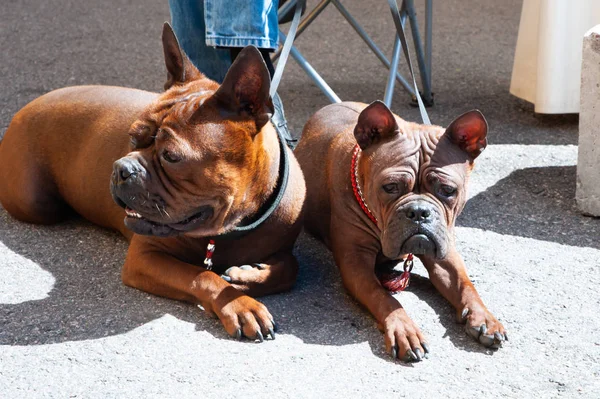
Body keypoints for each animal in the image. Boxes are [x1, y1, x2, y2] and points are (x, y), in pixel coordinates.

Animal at [0, 24, 308, 344]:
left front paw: (244, 276)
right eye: (133, 137)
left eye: (171, 156)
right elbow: (201, 276)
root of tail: (29, 105)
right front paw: (239, 305)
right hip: (36, 204)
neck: (232, 228)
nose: (122, 168)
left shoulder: (285, 249)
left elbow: (290, 269)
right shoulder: (145, 257)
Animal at [296, 101, 506, 362]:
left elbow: (466, 285)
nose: (419, 211)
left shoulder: (445, 255)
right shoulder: (355, 263)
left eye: (448, 190)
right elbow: (382, 296)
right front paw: (404, 329)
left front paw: (484, 317)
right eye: (390, 187)